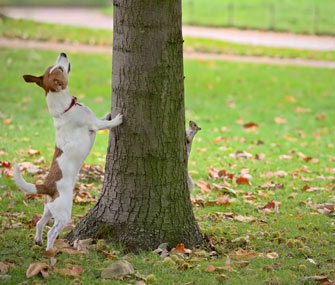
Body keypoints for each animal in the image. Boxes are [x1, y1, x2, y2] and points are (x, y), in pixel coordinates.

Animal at [13, 52, 123, 250]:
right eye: (60, 68)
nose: (63, 53)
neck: (64, 109)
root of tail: (47, 186)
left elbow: (102, 118)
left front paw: (108, 114)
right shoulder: (94, 125)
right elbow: (105, 124)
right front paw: (117, 119)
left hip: (49, 209)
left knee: (40, 223)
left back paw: (38, 240)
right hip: (63, 213)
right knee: (51, 231)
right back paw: (50, 250)